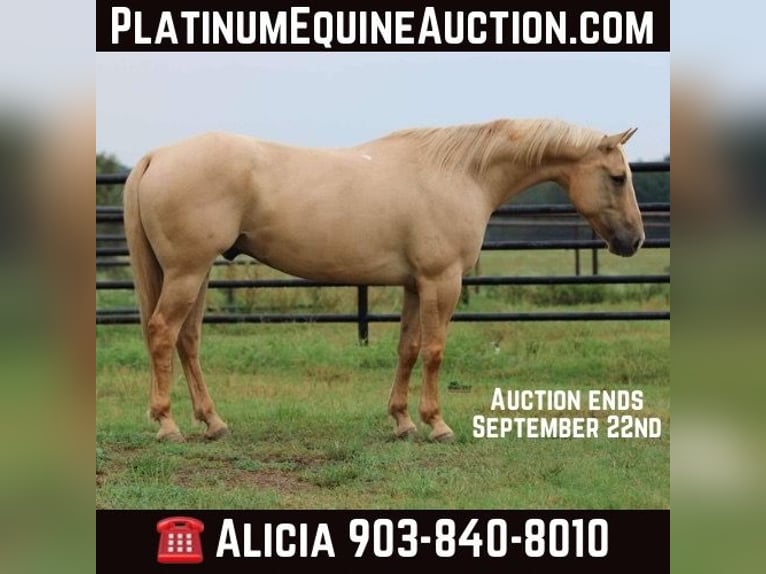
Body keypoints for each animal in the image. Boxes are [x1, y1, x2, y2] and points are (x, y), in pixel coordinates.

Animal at [123, 118, 644, 443]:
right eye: (618, 177)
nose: (634, 240)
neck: (460, 174)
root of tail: (158, 156)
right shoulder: (442, 282)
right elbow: (434, 351)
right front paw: (437, 424)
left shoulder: (415, 284)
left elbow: (408, 350)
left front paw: (402, 421)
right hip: (188, 272)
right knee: (163, 333)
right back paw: (167, 425)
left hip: (197, 274)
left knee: (187, 340)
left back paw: (213, 422)